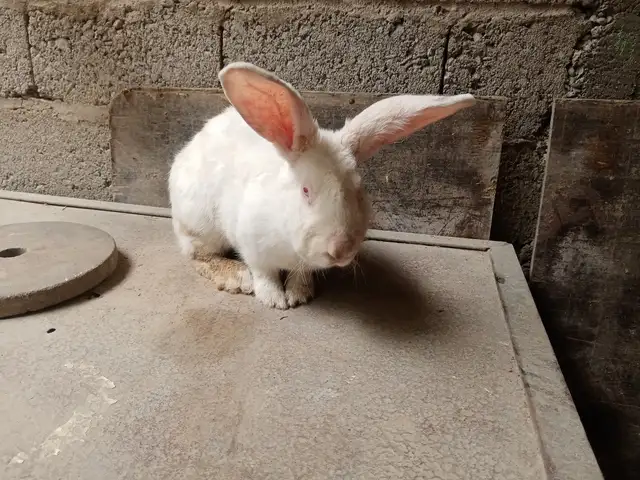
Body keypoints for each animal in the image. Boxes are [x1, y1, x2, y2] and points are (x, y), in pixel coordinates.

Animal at [169, 62, 476, 309]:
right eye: (306, 190)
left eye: (359, 190)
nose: (341, 251)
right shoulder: (251, 245)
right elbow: (264, 274)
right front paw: (273, 300)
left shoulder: (304, 263)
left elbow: (301, 274)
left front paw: (299, 295)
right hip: (200, 224)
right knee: (197, 255)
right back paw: (237, 277)